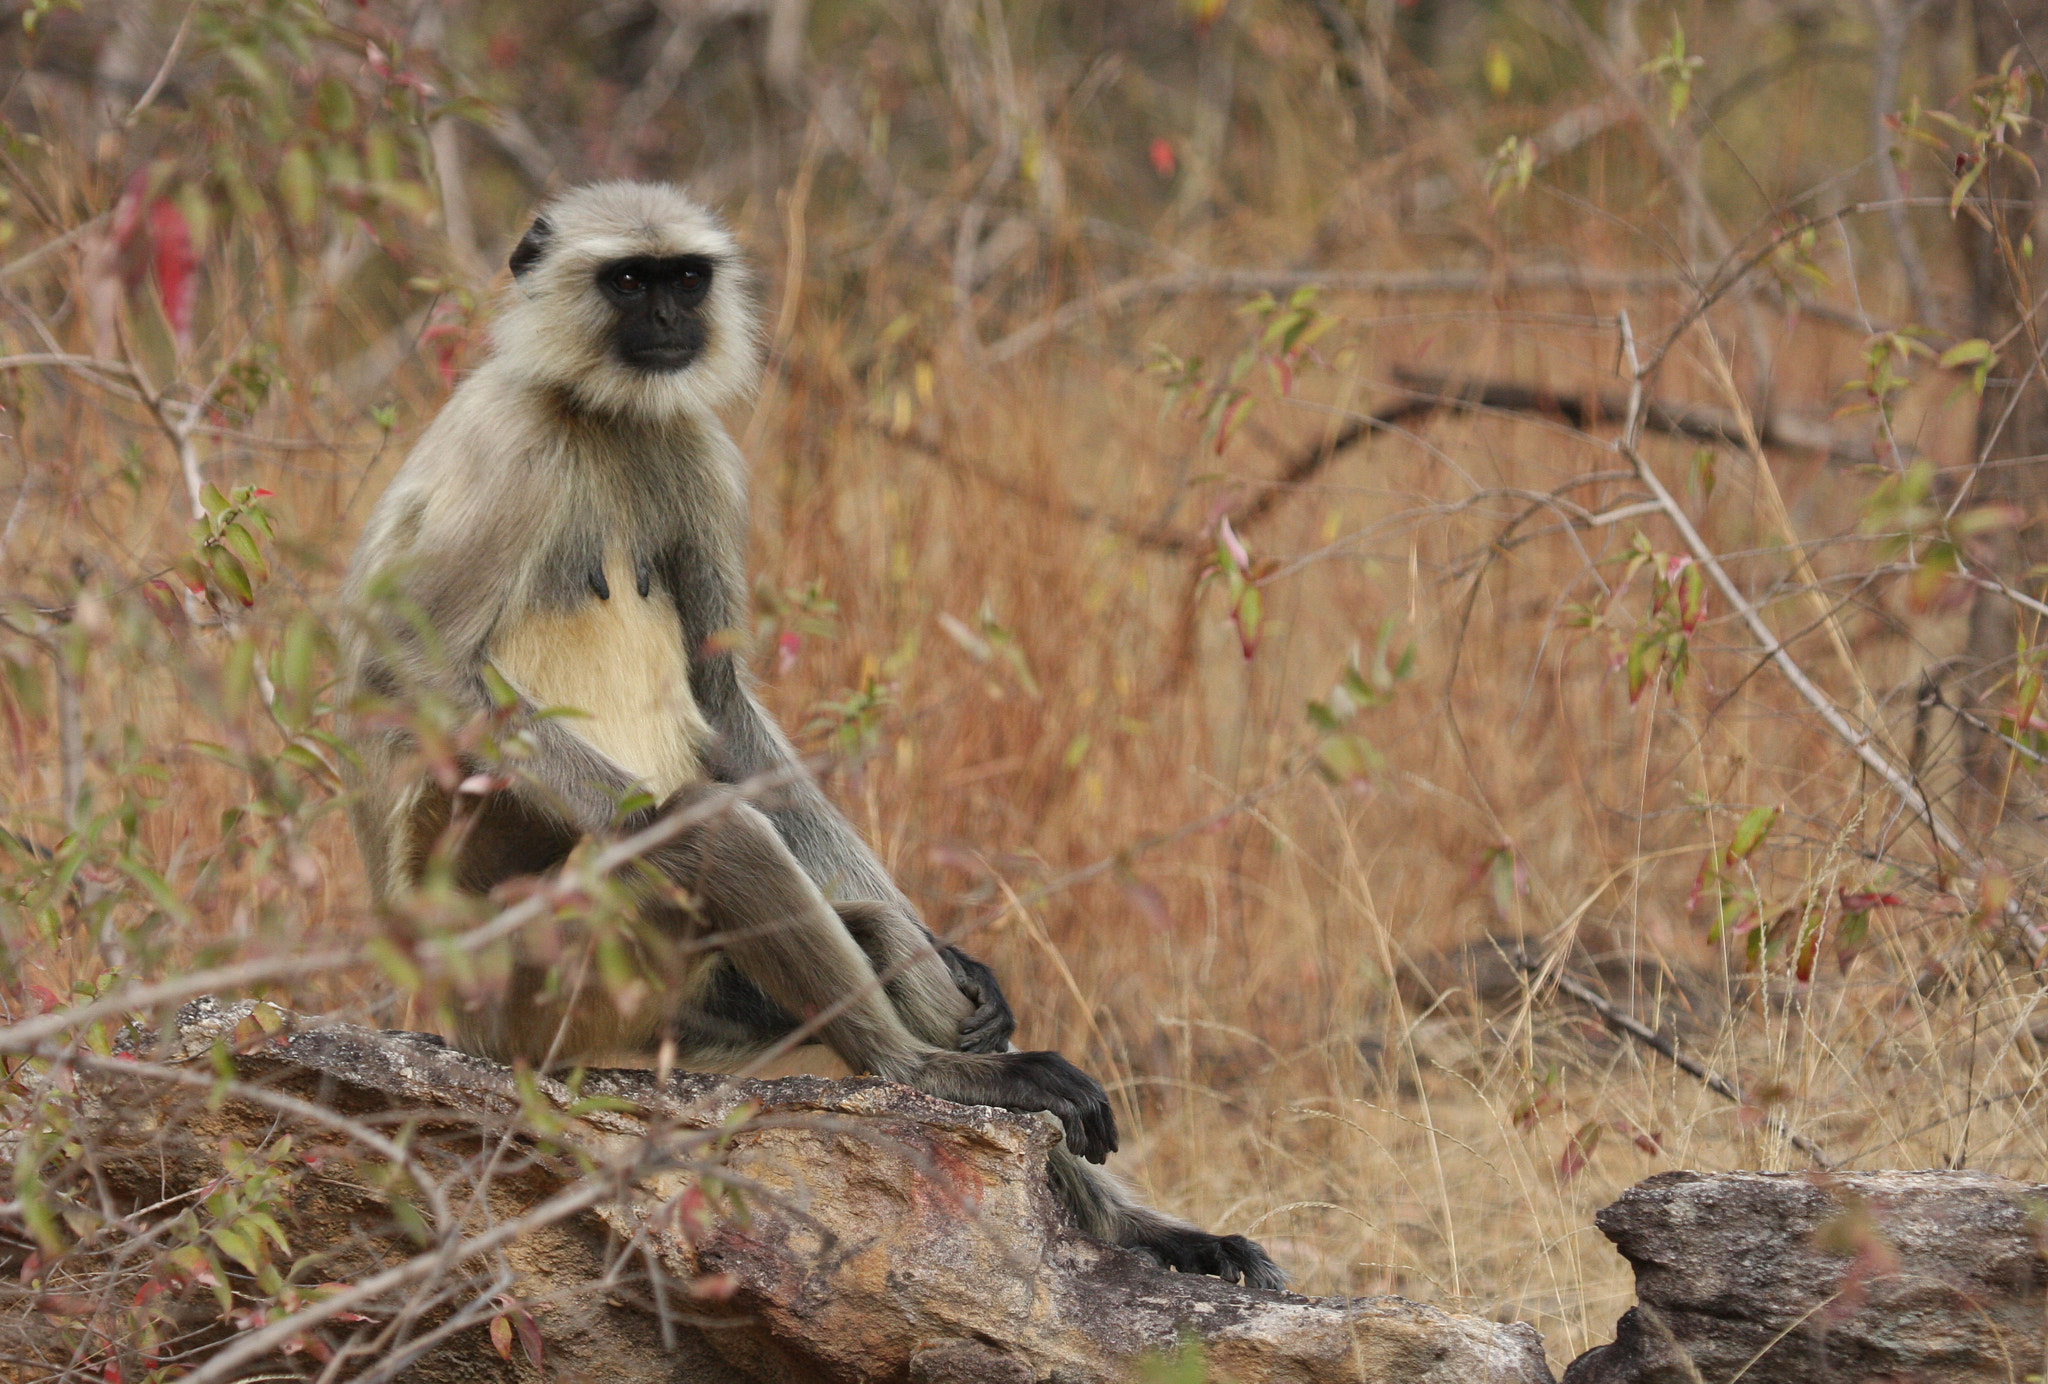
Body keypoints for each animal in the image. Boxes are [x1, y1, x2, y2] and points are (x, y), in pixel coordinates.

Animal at [338, 181, 1282, 1291]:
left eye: (683, 279)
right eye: (628, 280)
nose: (669, 320)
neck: (598, 412)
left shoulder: (695, 447)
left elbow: (722, 698)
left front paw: (964, 965)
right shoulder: (508, 440)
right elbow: (401, 670)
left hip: (670, 1013)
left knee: (850, 924)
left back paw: (1128, 1216)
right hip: (521, 956)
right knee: (706, 831)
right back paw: (936, 1073)